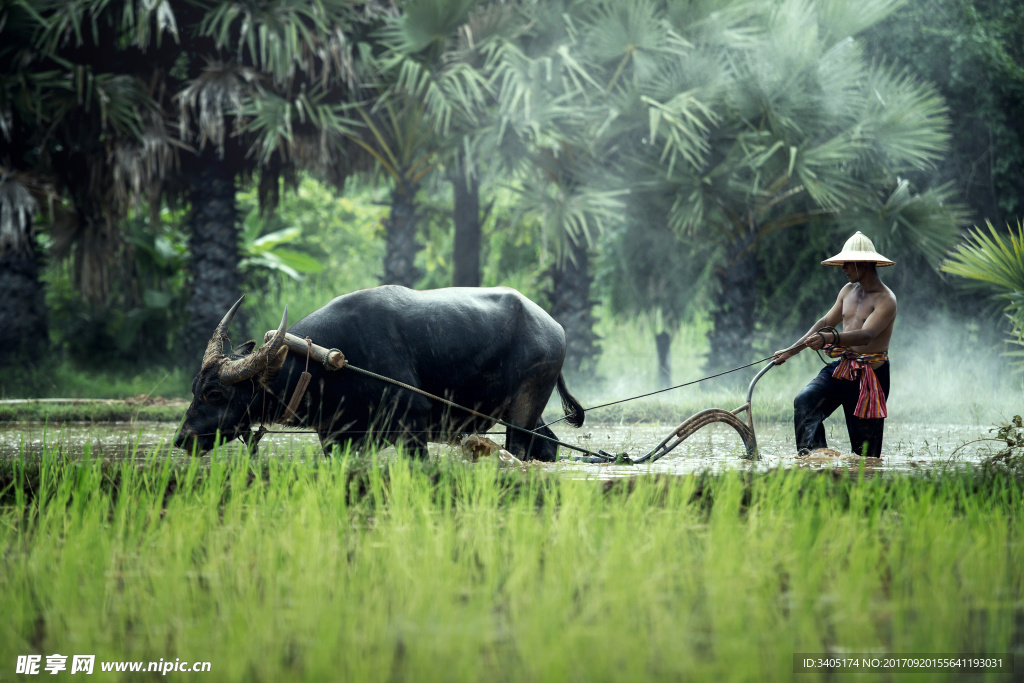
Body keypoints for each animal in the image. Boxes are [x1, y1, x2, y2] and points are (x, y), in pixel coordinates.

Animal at [174, 286, 585, 462]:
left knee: (520, 449)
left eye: (215, 394)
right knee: (546, 445)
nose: (182, 439)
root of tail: (556, 327)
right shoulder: (337, 438)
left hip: (524, 406)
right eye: (194, 388)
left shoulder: (413, 428)